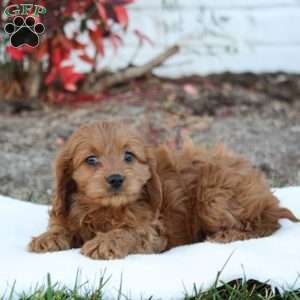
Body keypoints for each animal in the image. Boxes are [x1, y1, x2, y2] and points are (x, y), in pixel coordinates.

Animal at [27, 120, 298, 258]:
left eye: (129, 156)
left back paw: (227, 236)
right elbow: (63, 226)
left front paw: (106, 242)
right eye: (91, 159)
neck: (104, 209)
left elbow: (129, 231)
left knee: (265, 223)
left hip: (214, 196)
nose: (115, 179)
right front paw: (47, 237)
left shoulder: (153, 232)